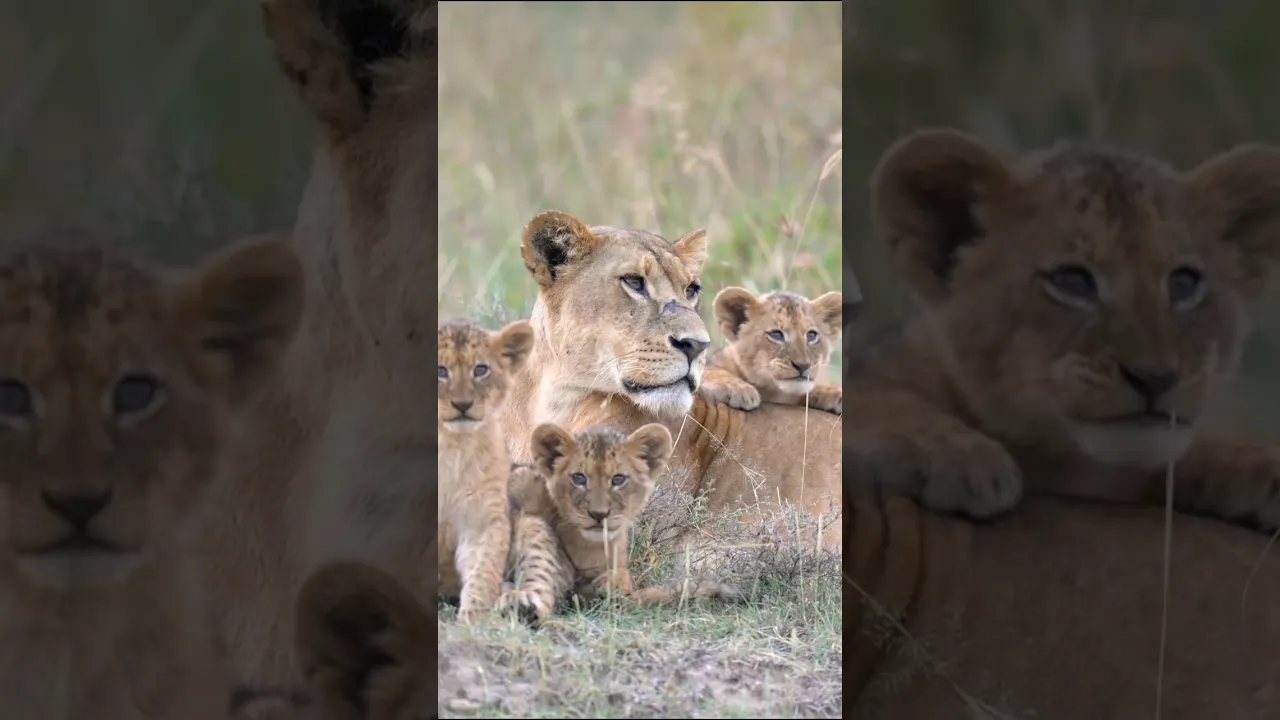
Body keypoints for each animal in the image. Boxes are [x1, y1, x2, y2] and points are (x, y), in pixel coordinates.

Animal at [437, 318, 533, 621]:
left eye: (480, 369)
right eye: (440, 370)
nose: (462, 404)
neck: (453, 445)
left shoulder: (484, 518)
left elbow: (483, 570)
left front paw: (474, 619)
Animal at [499, 422, 742, 623]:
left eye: (618, 479)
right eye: (578, 478)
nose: (599, 514)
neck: (592, 546)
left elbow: (625, 582)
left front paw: (611, 586)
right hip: (530, 525)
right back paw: (520, 604)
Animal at [703, 287, 843, 415]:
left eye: (811, 335)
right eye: (776, 335)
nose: (803, 366)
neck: (776, 394)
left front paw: (835, 391)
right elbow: (710, 371)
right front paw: (738, 388)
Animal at [845, 129, 1280, 715]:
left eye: (1185, 282)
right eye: (1073, 280)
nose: (1156, 377)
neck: (1069, 466)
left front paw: (1259, 468)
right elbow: (870, 398)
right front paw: (964, 458)